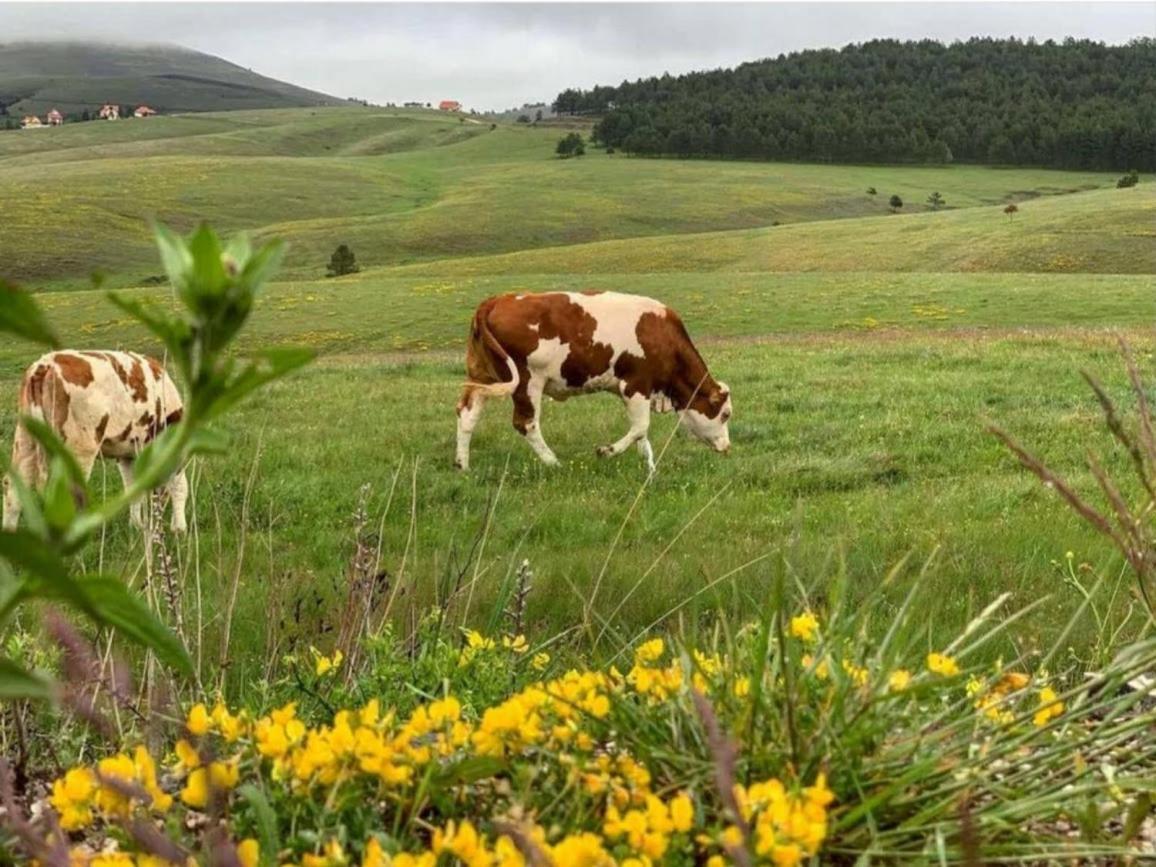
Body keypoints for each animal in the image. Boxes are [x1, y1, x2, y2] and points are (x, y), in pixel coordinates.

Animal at [2, 349, 187, 534]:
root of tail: (46, 363)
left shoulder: (126, 454)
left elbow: (133, 488)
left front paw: (136, 525)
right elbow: (179, 487)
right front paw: (179, 529)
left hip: (25, 439)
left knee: (13, 488)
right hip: (79, 448)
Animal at [453, 292, 730, 471]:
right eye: (726, 414)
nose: (727, 447)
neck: (662, 335)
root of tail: (496, 301)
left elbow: (642, 435)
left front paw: (649, 467)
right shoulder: (637, 384)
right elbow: (641, 427)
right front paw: (607, 451)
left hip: (481, 377)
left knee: (467, 414)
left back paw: (462, 465)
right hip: (527, 381)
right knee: (526, 424)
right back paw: (554, 463)